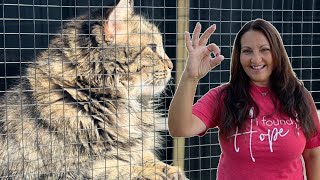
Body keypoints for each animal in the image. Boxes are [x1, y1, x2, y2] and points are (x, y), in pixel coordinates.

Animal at [0, 0, 186, 179]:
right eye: (153, 47)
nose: (171, 66)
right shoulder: (64, 171)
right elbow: (115, 168)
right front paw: (150, 172)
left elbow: (144, 155)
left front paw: (169, 169)